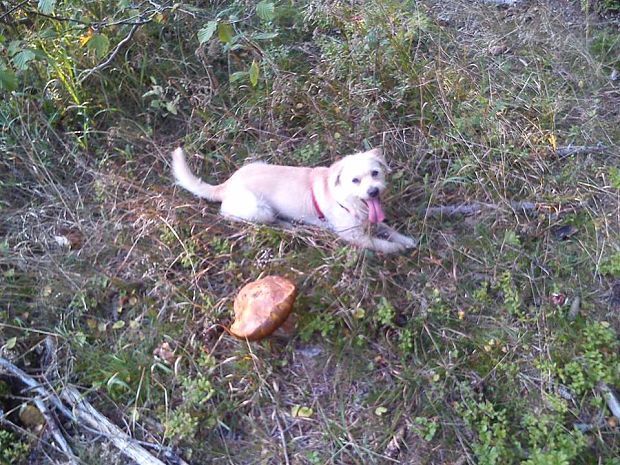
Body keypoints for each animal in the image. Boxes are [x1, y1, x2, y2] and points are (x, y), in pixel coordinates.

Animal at [171, 146, 416, 252]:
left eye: (375, 173)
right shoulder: (353, 236)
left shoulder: (371, 220)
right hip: (260, 209)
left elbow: (388, 229)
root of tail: (227, 184)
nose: (373, 192)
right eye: (355, 180)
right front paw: (397, 248)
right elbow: (380, 244)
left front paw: (406, 239)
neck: (349, 200)